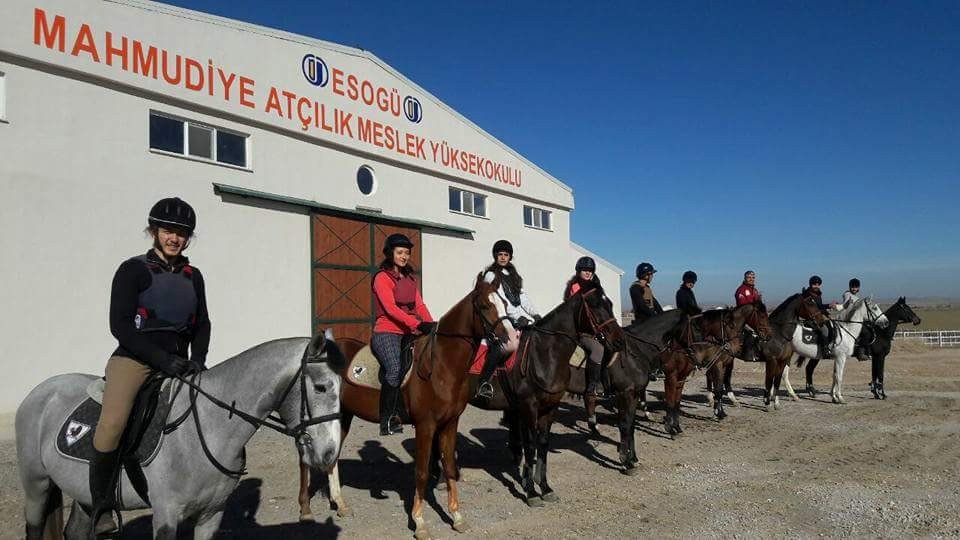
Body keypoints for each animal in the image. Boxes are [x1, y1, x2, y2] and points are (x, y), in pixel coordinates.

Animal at [16, 334, 344, 540]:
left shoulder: (211, 515)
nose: (329, 453)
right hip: (37, 484)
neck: (208, 429)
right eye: (321, 387)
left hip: (85, 495)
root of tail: (43, 389)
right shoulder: (166, 515)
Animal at [296, 278, 512, 540]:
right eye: (484, 305)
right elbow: (421, 472)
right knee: (305, 455)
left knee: (332, 456)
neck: (441, 365)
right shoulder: (425, 426)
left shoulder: (450, 423)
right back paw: (305, 510)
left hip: (341, 416)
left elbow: (450, 467)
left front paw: (457, 517)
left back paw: (341, 504)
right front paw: (419, 522)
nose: (509, 338)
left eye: (504, 303)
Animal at [466, 288, 632, 504]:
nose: (620, 341)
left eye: (610, 304)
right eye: (595, 307)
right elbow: (530, 446)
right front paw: (530, 491)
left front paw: (544, 487)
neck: (544, 354)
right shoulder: (529, 407)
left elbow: (543, 445)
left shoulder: (549, 408)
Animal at [660, 304, 772, 434]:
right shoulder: (717, 364)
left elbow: (719, 387)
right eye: (762, 315)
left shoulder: (723, 363)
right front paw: (718, 413)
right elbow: (718, 388)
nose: (769, 335)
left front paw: (720, 410)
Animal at [796, 298, 924, 398]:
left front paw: (875, 392)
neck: (882, 333)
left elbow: (874, 374)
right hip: (816, 356)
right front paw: (882, 394)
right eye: (907, 308)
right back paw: (811, 391)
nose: (918, 320)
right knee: (809, 369)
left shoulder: (875, 358)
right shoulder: (880, 356)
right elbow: (880, 374)